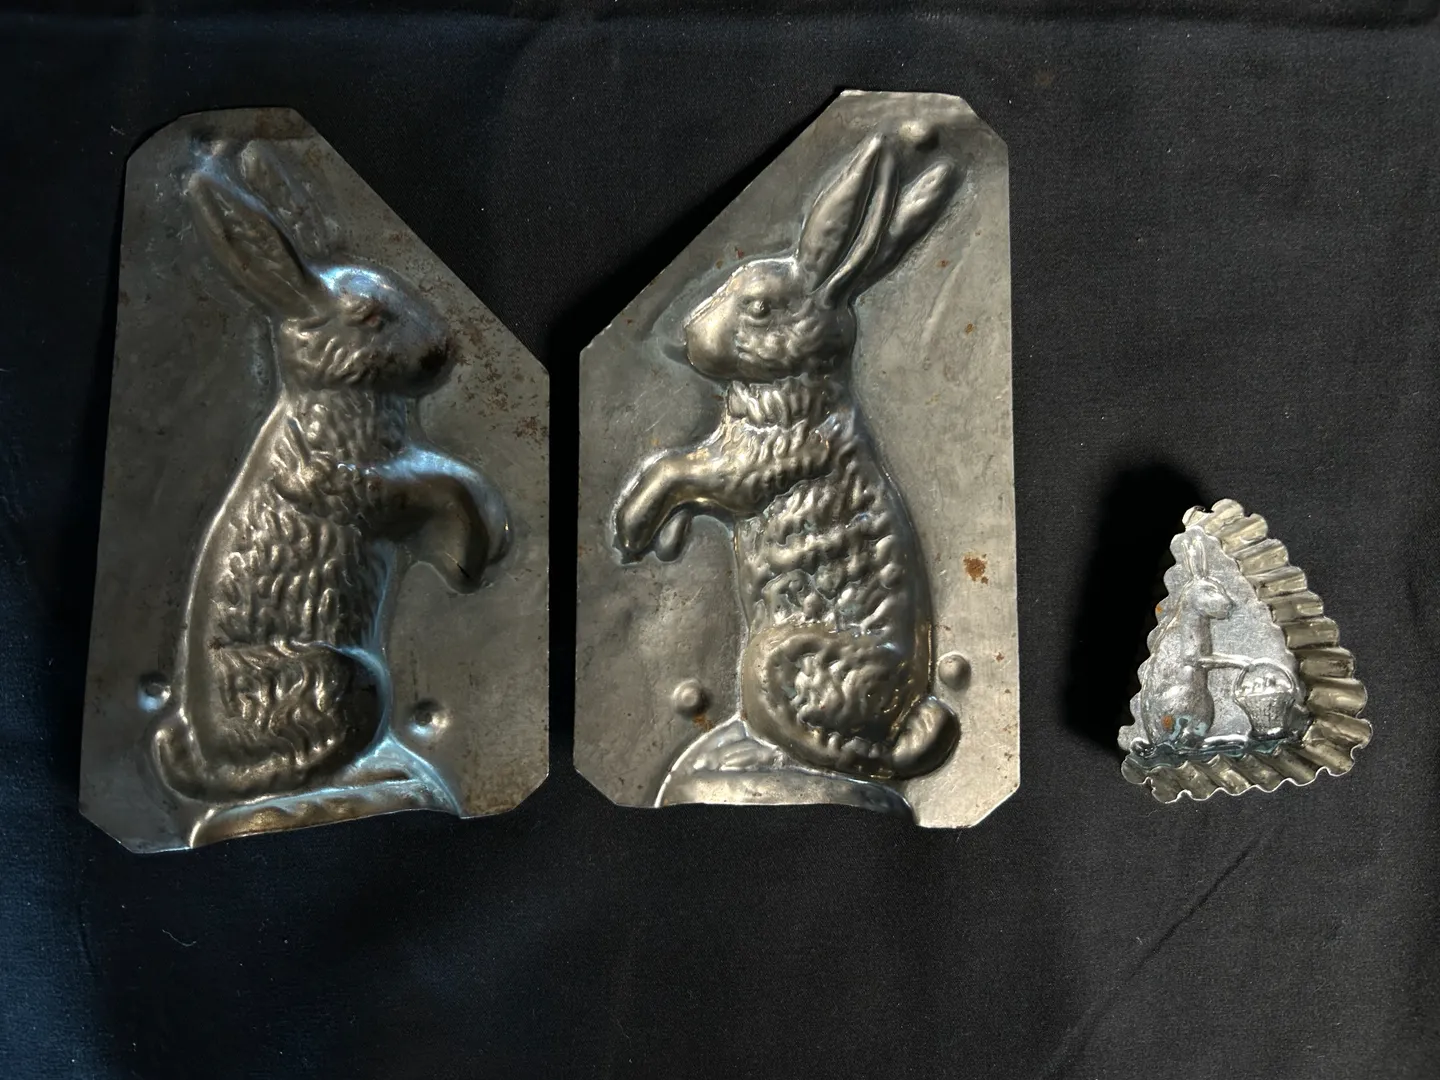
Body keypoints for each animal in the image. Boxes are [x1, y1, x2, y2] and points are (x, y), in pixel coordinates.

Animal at [150, 139, 510, 803]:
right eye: (370, 316)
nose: (443, 352)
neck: (338, 395)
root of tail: (215, 756)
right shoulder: (346, 480)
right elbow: (438, 483)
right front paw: (472, 550)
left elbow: (445, 475)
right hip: (342, 676)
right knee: (307, 765)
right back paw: (389, 774)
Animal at [614, 131, 961, 781]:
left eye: (758, 308)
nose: (687, 338)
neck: (795, 384)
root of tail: (899, 718)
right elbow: (678, 472)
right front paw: (659, 535)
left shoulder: (755, 466)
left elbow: (679, 469)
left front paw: (632, 528)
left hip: (773, 658)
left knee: (812, 740)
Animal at [1137, 531, 1235, 750]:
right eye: (1209, 591)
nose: (1230, 606)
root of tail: (1155, 740)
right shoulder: (1195, 656)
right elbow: (1221, 659)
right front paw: (1247, 663)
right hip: (1192, 700)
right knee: (1182, 740)